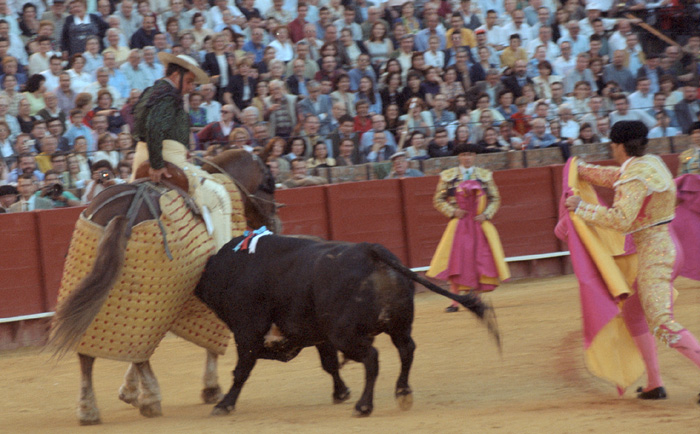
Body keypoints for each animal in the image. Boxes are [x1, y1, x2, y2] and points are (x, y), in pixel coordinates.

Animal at [47, 149, 278, 424]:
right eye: (269, 182)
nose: (275, 222)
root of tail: (126, 213)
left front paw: (128, 391)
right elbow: (209, 344)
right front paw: (211, 388)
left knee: (93, 349)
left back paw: (89, 410)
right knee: (136, 346)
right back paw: (150, 399)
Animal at [197, 234, 500, 418]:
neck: (232, 268)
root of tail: (371, 249)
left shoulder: (248, 330)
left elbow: (242, 369)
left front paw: (224, 404)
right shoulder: (320, 336)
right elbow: (329, 363)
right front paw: (340, 392)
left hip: (345, 334)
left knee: (372, 357)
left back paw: (364, 406)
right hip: (398, 325)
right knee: (406, 350)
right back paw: (402, 392)